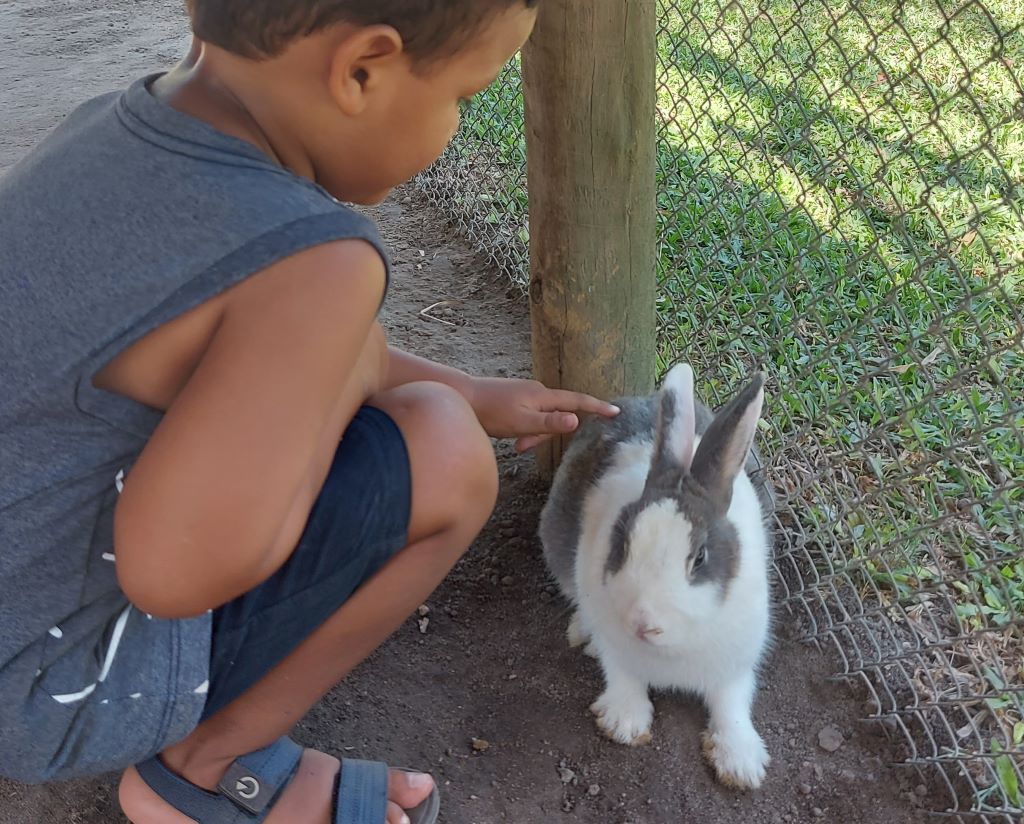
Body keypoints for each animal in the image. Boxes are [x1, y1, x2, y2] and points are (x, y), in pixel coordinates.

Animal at [540, 362, 770, 786]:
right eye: (622, 541)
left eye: (700, 558)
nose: (643, 623)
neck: (671, 650)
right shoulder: (616, 646)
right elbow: (622, 675)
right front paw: (624, 724)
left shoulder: (737, 661)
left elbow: (731, 703)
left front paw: (741, 764)